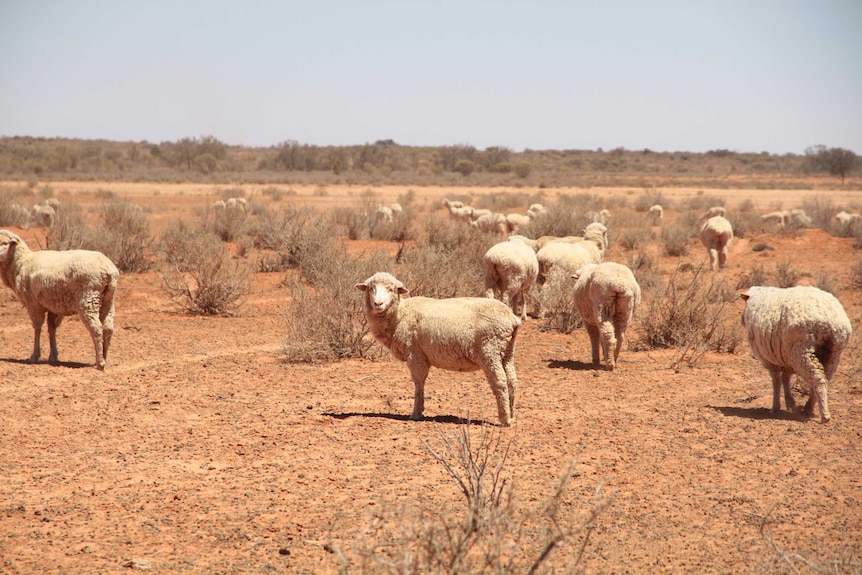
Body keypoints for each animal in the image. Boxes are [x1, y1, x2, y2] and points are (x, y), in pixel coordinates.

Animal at [0, 232, 120, 372]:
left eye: (4, 243)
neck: (19, 263)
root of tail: (108, 269)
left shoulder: (33, 304)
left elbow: (37, 328)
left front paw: (35, 355)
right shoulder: (55, 306)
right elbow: (51, 328)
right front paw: (53, 356)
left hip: (88, 299)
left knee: (96, 328)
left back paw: (100, 363)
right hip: (109, 298)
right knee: (108, 327)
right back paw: (104, 357)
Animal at [356, 272, 524, 426]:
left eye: (391, 289)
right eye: (370, 288)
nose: (378, 303)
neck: (399, 315)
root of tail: (512, 318)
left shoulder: (415, 354)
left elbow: (419, 382)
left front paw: (416, 413)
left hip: (490, 350)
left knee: (500, 381)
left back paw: (504, 419)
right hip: (507, 351)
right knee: (512, 380)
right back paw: (511, 416)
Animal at [740, 286, 852, 426]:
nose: (741, 320)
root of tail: (830, 322)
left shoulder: (770, 361)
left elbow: (776, 381)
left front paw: (775, 408)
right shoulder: (785, 358)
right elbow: (785, 378)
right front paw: (790, 403)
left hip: (802, 351)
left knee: (818, 380)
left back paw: (823, 416)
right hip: (833, 353)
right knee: (823, 379)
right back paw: (809, 408)